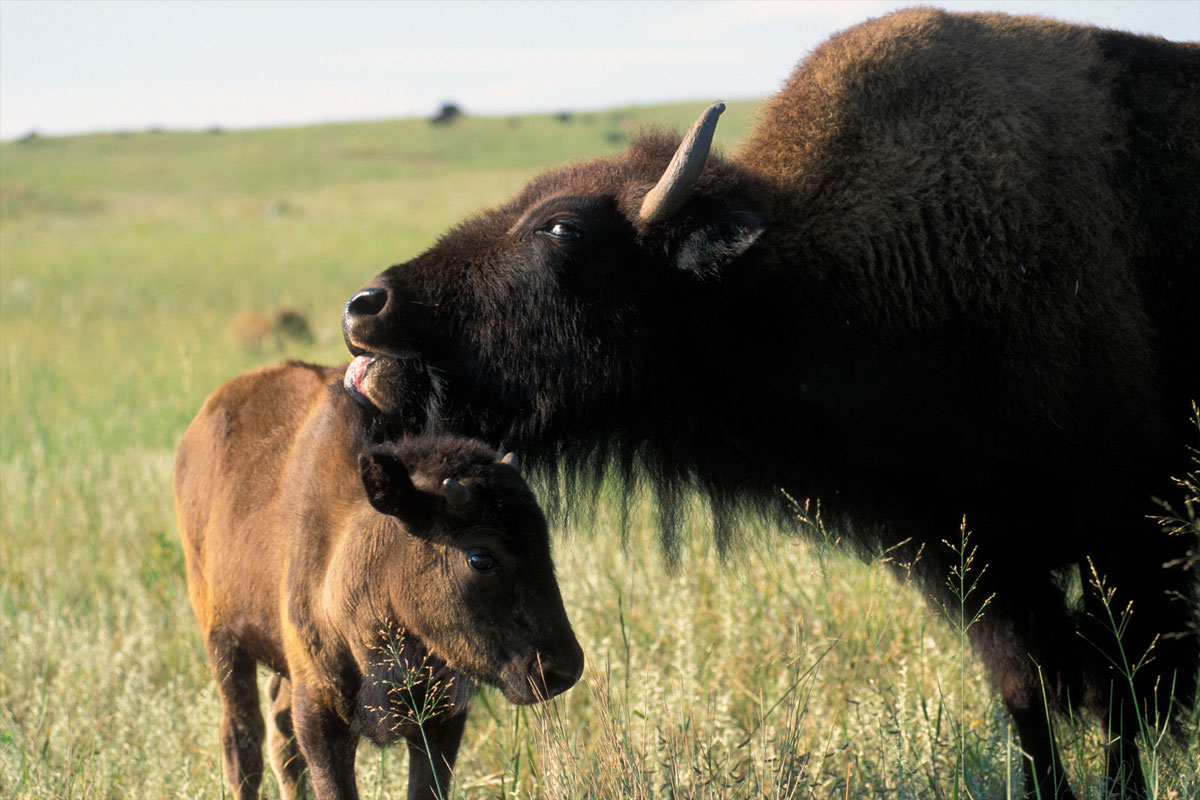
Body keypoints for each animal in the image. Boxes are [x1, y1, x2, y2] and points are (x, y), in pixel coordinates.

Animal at [175, 361, 583, 800]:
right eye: (480, 557)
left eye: (544, 540)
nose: (563, 670)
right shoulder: (321, 716)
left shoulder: (441, 720)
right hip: (221, 638)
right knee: (242, 741)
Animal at [338, 9, 1198, 799]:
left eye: (561, 227)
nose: (368, 306)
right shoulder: (980, 565)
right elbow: (1030, 697)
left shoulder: (1127, 543)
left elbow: (1123, 692)